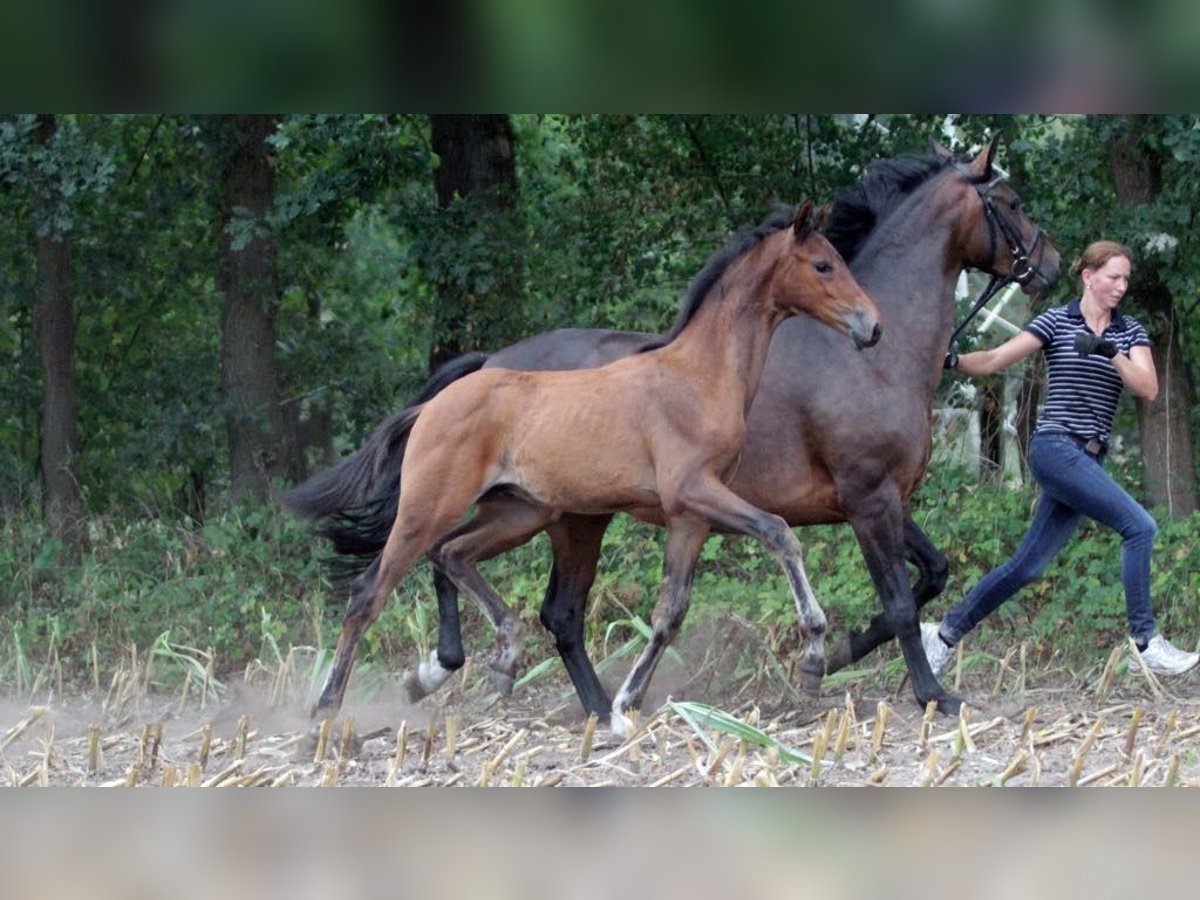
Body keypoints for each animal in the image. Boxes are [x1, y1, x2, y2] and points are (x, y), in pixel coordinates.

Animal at [292, 199, 883, 724]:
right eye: (824, 265)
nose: (871, 326)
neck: (699, 375)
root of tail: (431, 406)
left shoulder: (690, 518)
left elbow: (669, 614)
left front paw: (624, 706)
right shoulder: (694, 490)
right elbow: (780, 532)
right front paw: (813, 656)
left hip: (519, 512)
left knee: (453, 555)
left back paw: (497, 660)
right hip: (430, 507)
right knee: (370, 592)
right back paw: (324, 712)